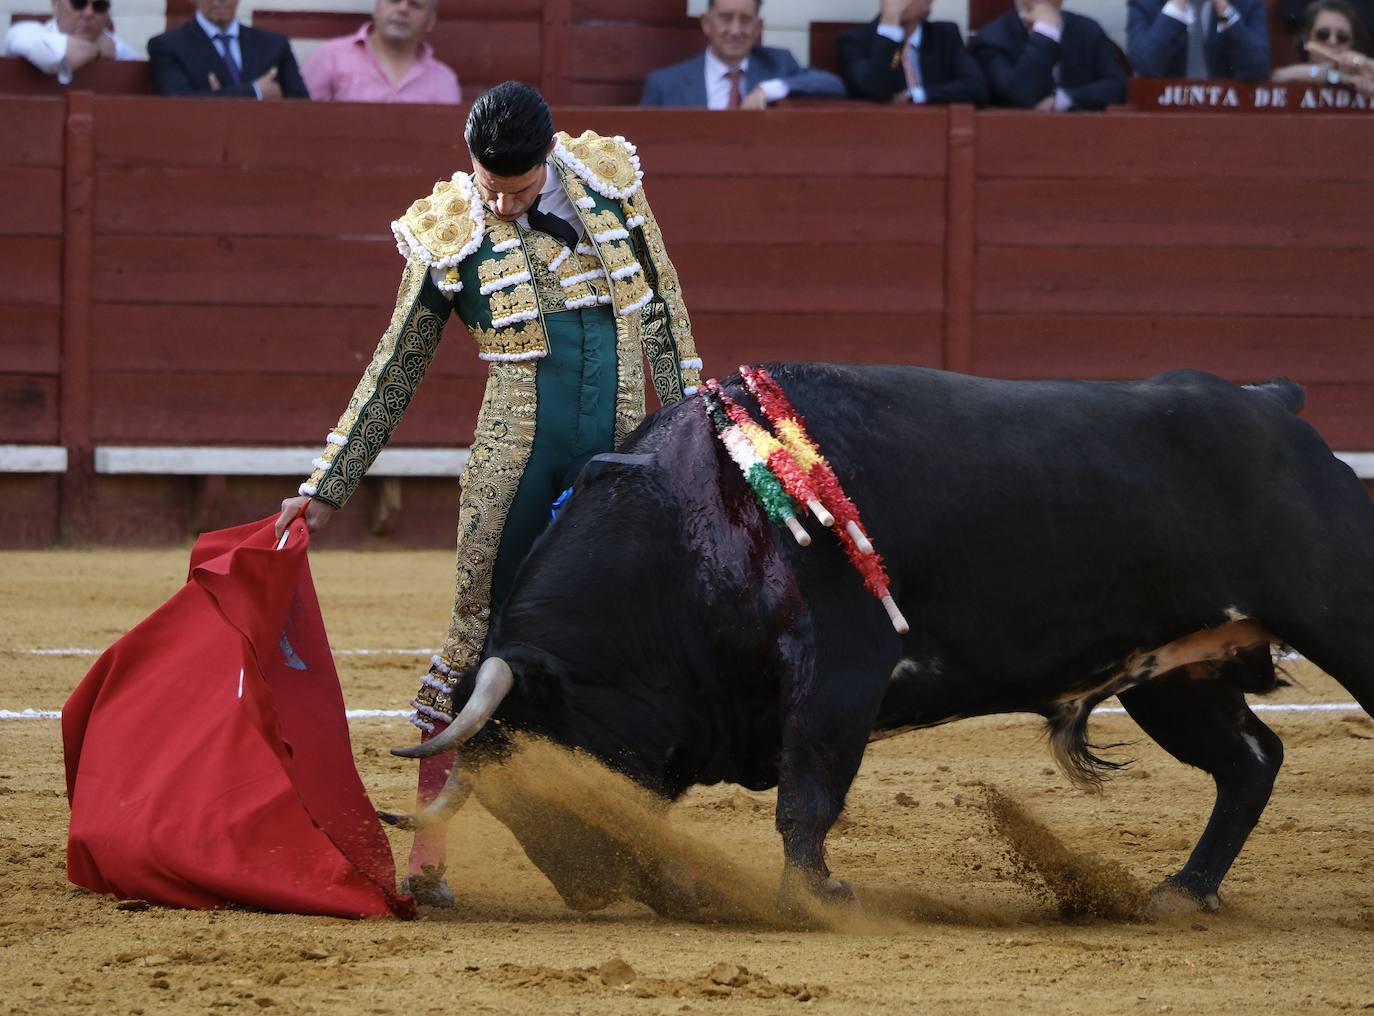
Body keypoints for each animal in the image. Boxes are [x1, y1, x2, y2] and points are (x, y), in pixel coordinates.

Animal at [392, 362, 1374, 912]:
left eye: (549, 760)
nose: (594, 892)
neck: (699, 518)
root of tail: (1271, 405)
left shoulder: (840, 672)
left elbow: (808, 796)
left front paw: (817, 897)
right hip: (1173, 676)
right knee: (1250, 761)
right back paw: (1182, 893)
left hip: (1336, 616)